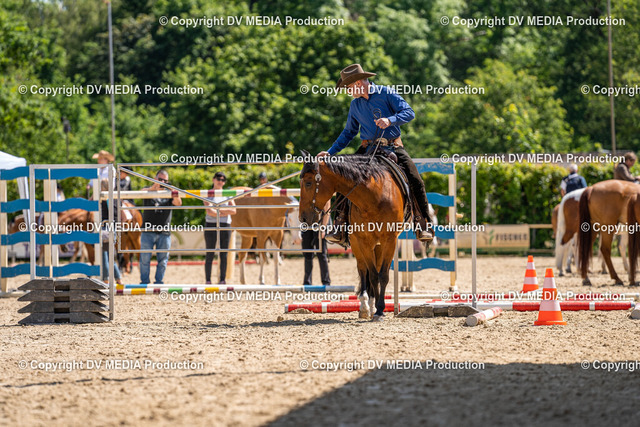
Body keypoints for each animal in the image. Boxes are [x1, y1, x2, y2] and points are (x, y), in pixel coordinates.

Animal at [298, 152, 407, 321]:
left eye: (308, 183)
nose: (302, 218)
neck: (374, 198)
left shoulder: (390, 240)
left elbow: (382, 275)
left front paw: (380, 309)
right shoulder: (363, 241)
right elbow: (372, 275)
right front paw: (376, 308)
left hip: (379, 245)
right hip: (358, 244)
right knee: (363, 270)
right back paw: (365, 307)